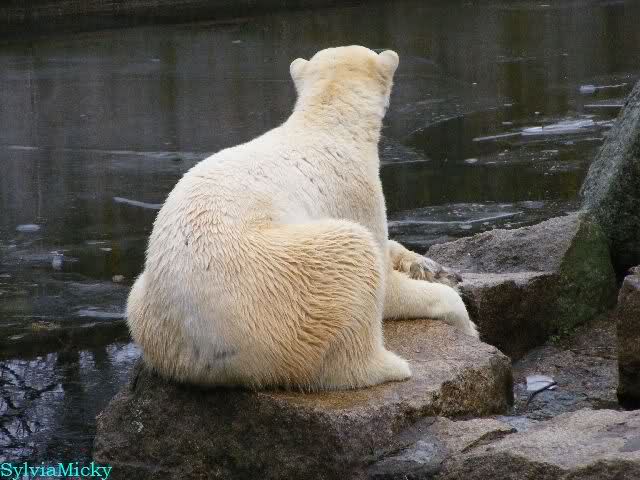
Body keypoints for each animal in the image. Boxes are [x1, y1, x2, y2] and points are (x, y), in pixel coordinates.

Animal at [127, 45, 478, 391]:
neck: (328, 123)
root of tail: (200, 349)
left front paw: (428, 266)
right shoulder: (355, 188)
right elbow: (387, 285)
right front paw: (464, 320)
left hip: (147, 311)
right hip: (280, 293)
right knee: (351, 253)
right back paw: (391, 366)